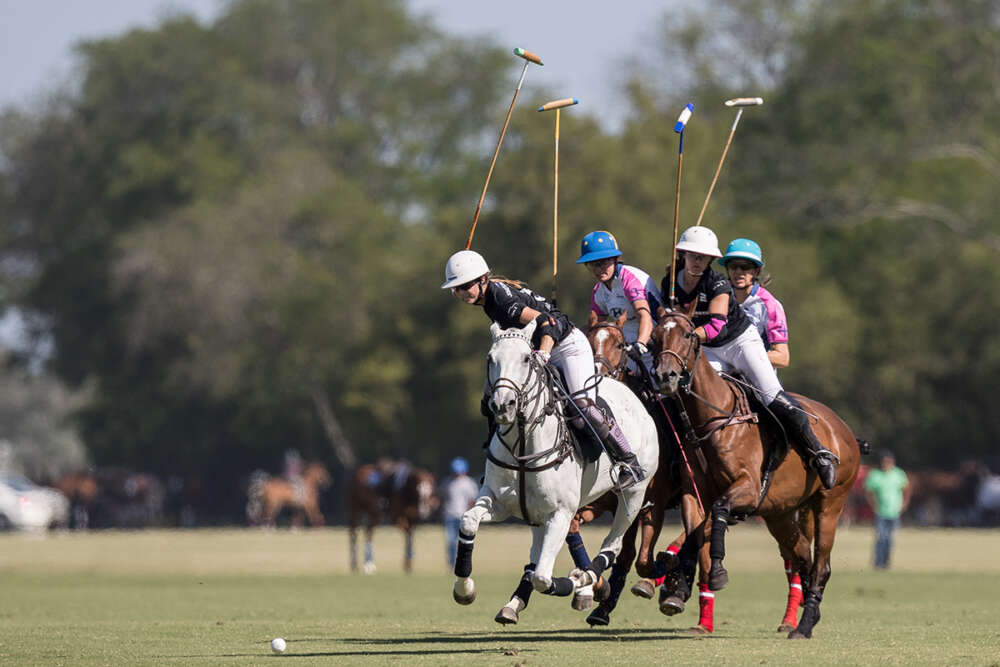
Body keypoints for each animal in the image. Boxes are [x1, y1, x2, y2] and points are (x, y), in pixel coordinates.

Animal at [452, 324, 656, 620]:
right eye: (490, 359)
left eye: (527, 358)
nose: (503, 405)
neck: (524, 447)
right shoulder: (499, 503)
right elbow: (468, 521)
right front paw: (465, 590)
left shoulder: (560, 513)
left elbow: (543, 577)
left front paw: (577, 582)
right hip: (537, 515)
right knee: (536, 554)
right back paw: (515, 604)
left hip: (634, 494)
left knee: (613, 544)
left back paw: (588, 579)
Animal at [652, 310, 864, 640]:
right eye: (654, 337)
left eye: (687, 335)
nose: (665, 376)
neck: (713, 419)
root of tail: (842, 428)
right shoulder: (693, 493)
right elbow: (695, 530)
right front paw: (678, 586)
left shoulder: (748, 489)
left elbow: (718, 511)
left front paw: (716, 571)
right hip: (780, 513)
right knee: (803, 557)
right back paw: (807, 616)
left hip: (830, 504)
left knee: (821, 565)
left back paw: (803, 626)